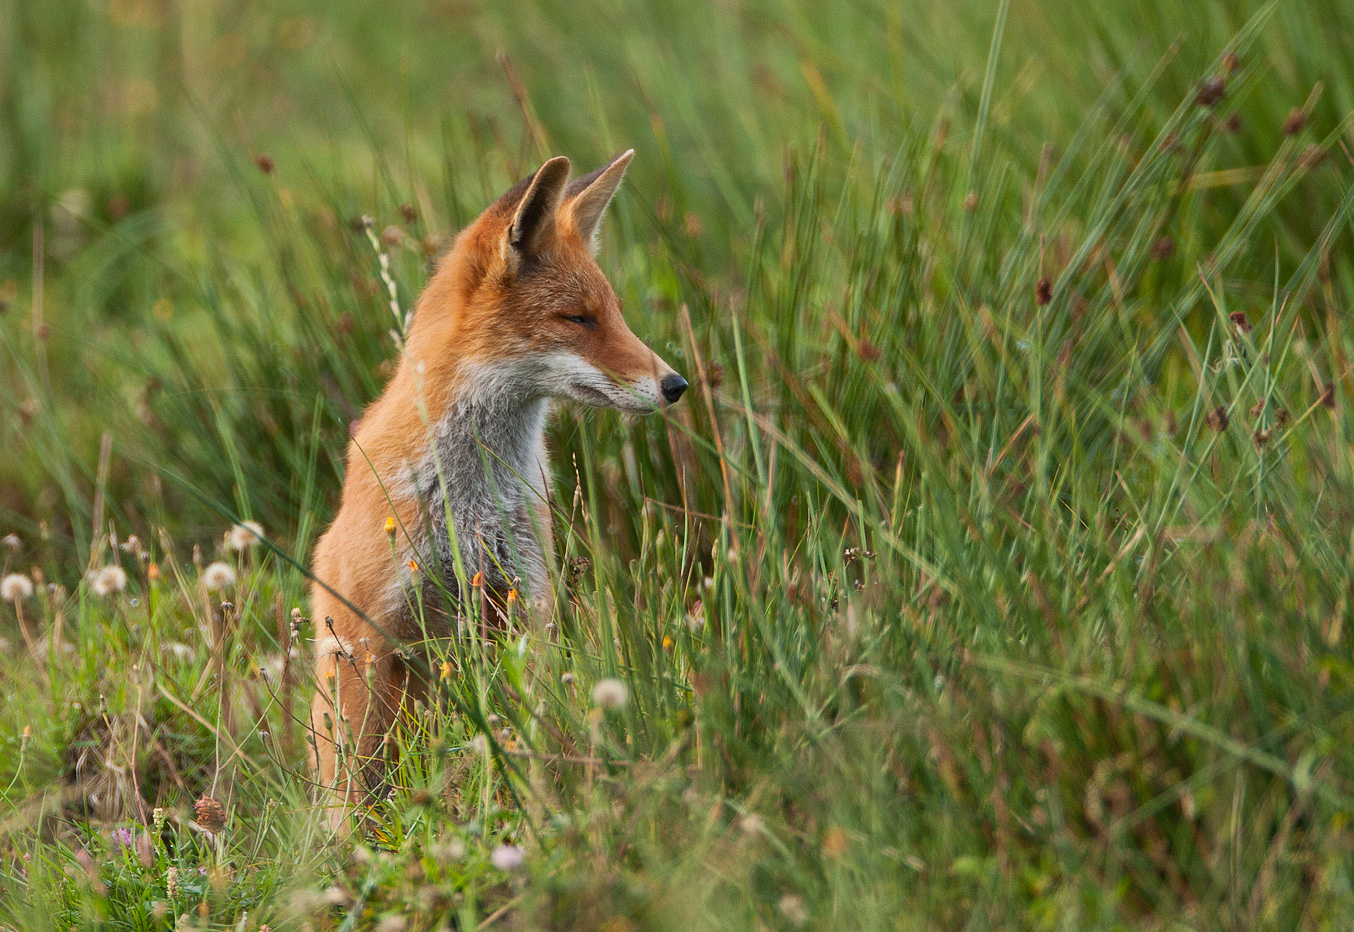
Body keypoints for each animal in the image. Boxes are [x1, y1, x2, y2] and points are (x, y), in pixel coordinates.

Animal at [310, 149, 682, 818]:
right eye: (578, 318)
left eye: (615, 315)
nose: (676, 385)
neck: (471, 499)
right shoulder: (366, 636)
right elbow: (352, 784)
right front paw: (350, 840)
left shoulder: (523, 607)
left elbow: (529, 735)